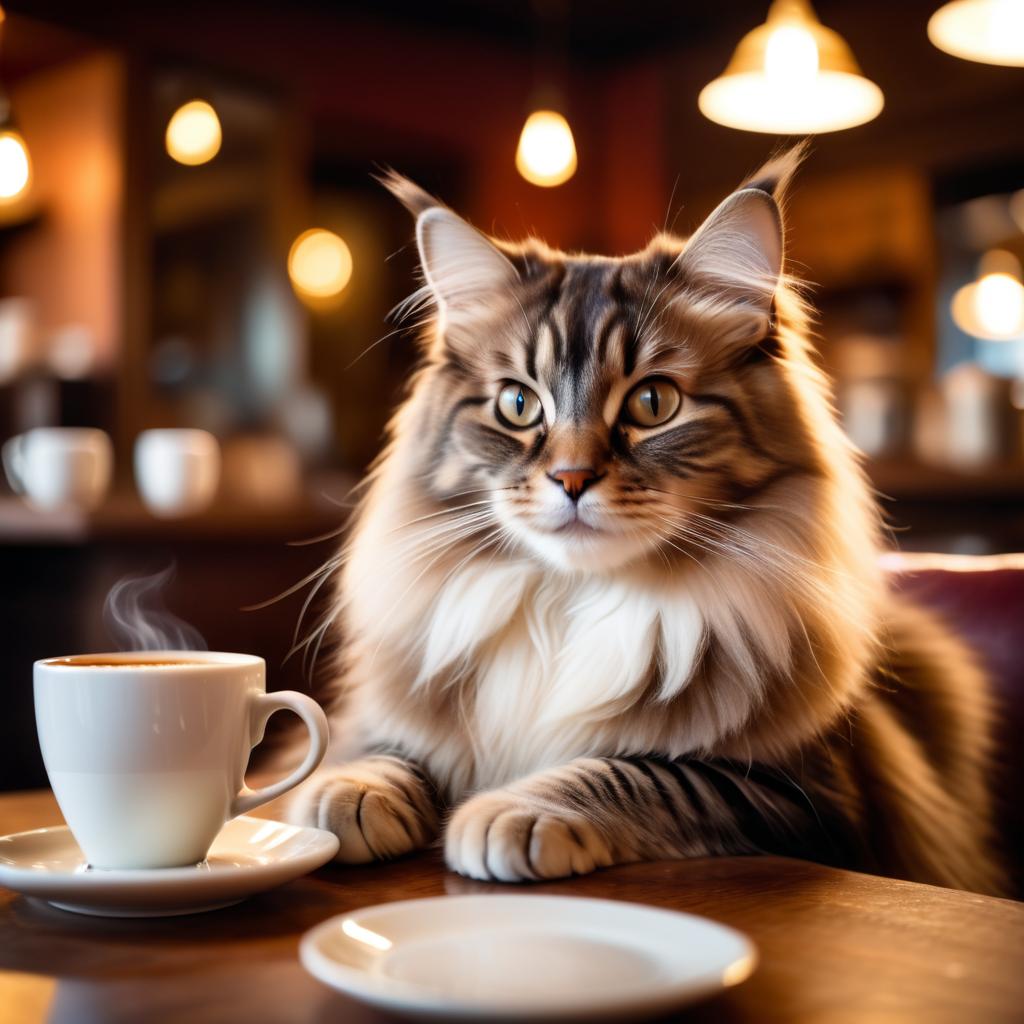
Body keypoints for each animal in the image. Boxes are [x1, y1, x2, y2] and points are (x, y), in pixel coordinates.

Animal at [286, 148, 999, 892]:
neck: (569, 605)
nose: (571, 478)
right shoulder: (382, 715)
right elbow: (380, 750)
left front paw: (512, 812)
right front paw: (347, 794)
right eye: (517, 404)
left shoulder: (801, 791)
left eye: (653, 403)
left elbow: (639, 772)